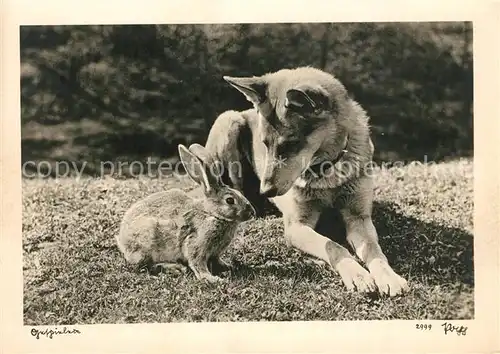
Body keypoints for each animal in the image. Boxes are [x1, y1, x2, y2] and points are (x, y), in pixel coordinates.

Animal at [116, 142, 256, 284]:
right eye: (230, 200)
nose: (252, 212)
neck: (212, 214)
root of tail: (122, 241)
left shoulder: (215, 253)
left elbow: (217, 261)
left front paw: (228, 266)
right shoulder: (196, 244)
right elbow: (197, 263)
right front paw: (212, 278)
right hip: (146, 241)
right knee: (143, 265)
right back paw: (174, 267)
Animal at [204, 65, 410, 296]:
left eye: (289, 145)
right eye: (264, 143)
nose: (265, 190)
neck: (326, 170)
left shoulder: (358, 217)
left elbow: (373, 250)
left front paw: (387, 276)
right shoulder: (297, 226)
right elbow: (332, 245)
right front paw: (356, 273)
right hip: (229, 121)